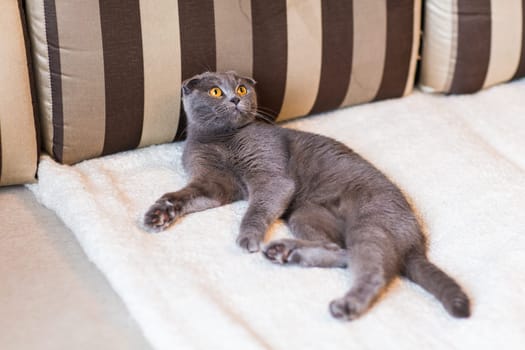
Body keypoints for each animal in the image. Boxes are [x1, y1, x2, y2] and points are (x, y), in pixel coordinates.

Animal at [144, 70, 470, 320]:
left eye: (241, 88)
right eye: (215, 91)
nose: (235, 99)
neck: (220, 140)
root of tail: (418, 243)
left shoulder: (271, 176)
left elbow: (256, 209)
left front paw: (248, 237)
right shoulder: (213, 182)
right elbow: (185, 195)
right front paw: (159, 213)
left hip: (371, 224)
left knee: (372, 270)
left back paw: (345, 304)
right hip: (306, 214)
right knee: (341, 251)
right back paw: (286, 251)